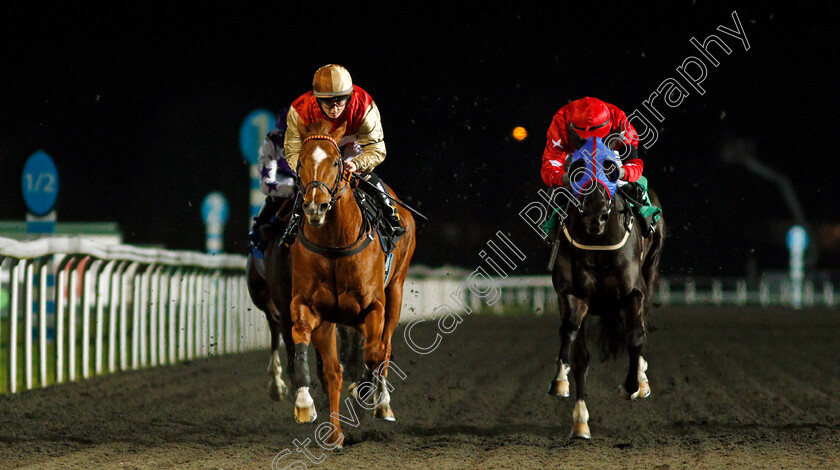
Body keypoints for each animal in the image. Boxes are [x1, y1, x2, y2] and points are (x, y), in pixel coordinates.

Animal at [544, 135, 668, 436]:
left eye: (610, 167)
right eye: (577, 169)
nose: (595, 214)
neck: (598, 243)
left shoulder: (634, 293)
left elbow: (635, 337)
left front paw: (632, 386)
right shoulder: (573, 295)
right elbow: (573, 341)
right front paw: (560, 381)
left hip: (651, 270)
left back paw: (641, 377)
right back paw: (580, 420)